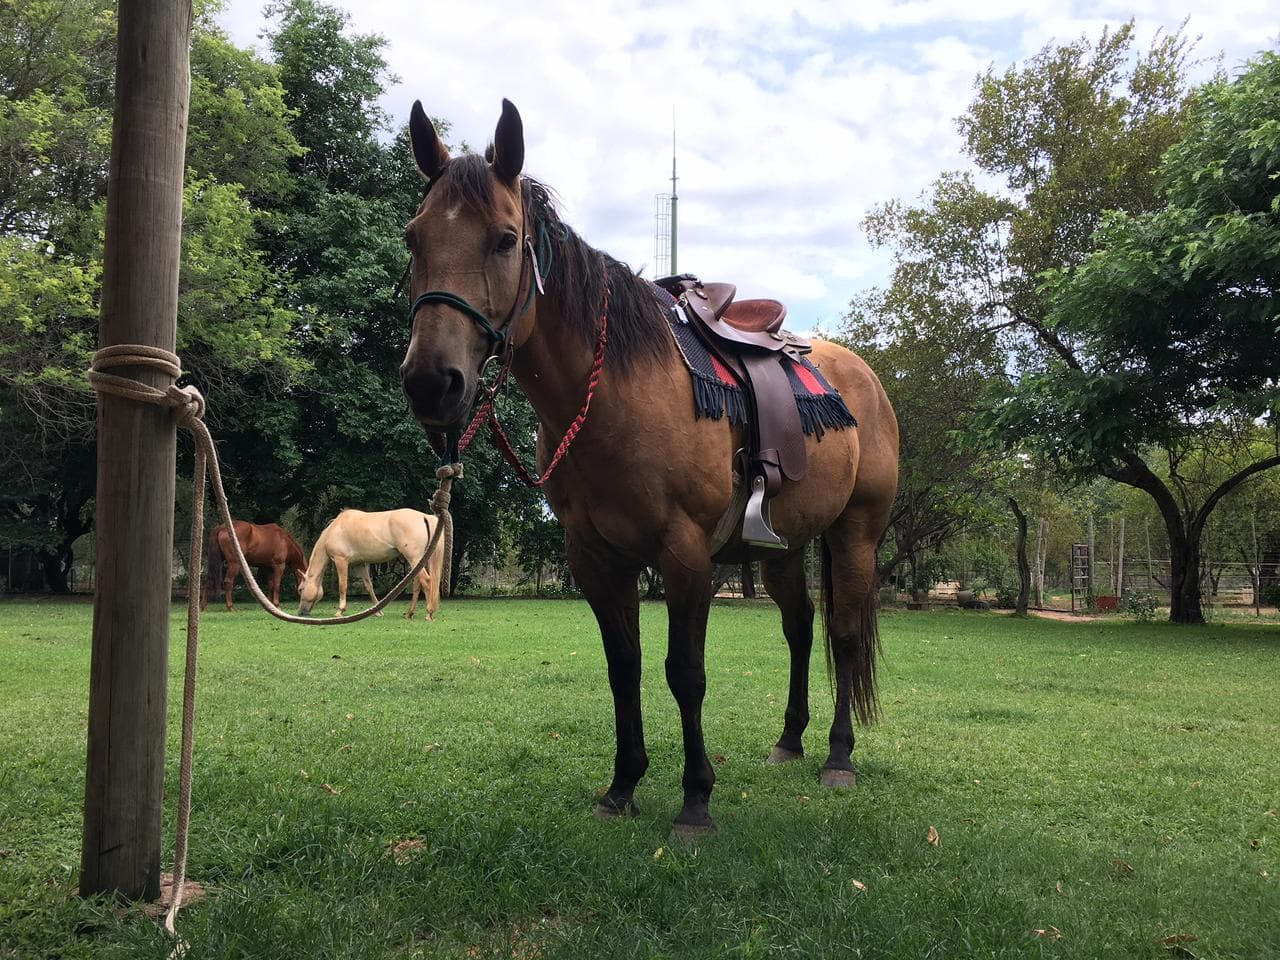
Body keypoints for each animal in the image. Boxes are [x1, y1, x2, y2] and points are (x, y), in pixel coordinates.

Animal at [297, 508, 445, 620]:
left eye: (300, 589)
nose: (301, 613)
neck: (335, 530)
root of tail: (424, 516)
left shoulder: (341, 560)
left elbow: (342, 586)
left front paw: (340, 611)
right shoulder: (360, 564)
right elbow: (369, 587)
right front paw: (377, 611)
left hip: (413, 558)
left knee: (427, 581)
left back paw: (429, 613)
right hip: (417, 561)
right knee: (417, 585)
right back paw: (409, 613)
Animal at [398, 99, 899, 833]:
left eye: (504, 239)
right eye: (414, 238)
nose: (432, 383)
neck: (615, 392)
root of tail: (865, 379)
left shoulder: (684, 552)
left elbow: (683, 673)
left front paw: (695, 799)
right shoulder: (596, 557)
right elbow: (623, 668)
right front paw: (624, 783)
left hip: (855, 535)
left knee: (843, 635)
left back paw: (838, 756)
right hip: (784, 548)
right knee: (800, 630)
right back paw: (789, 740)